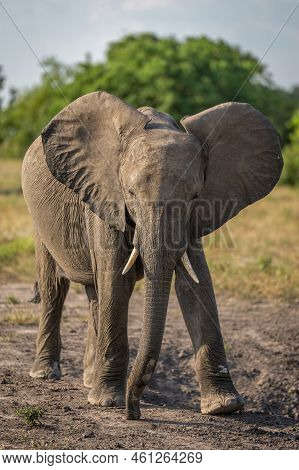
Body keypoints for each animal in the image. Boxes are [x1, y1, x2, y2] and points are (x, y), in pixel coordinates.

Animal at [21, 91, 284, 418]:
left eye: (194, 196)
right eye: (131, 194)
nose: (133, 411)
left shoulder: (194, 218)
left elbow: (196, 284)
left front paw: (224, 407)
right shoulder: (104, 196)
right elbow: (116, 283)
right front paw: (107, 401)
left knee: (95, 294)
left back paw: (89, 380)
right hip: (39, 220)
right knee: (56, 287)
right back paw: (47, 374)